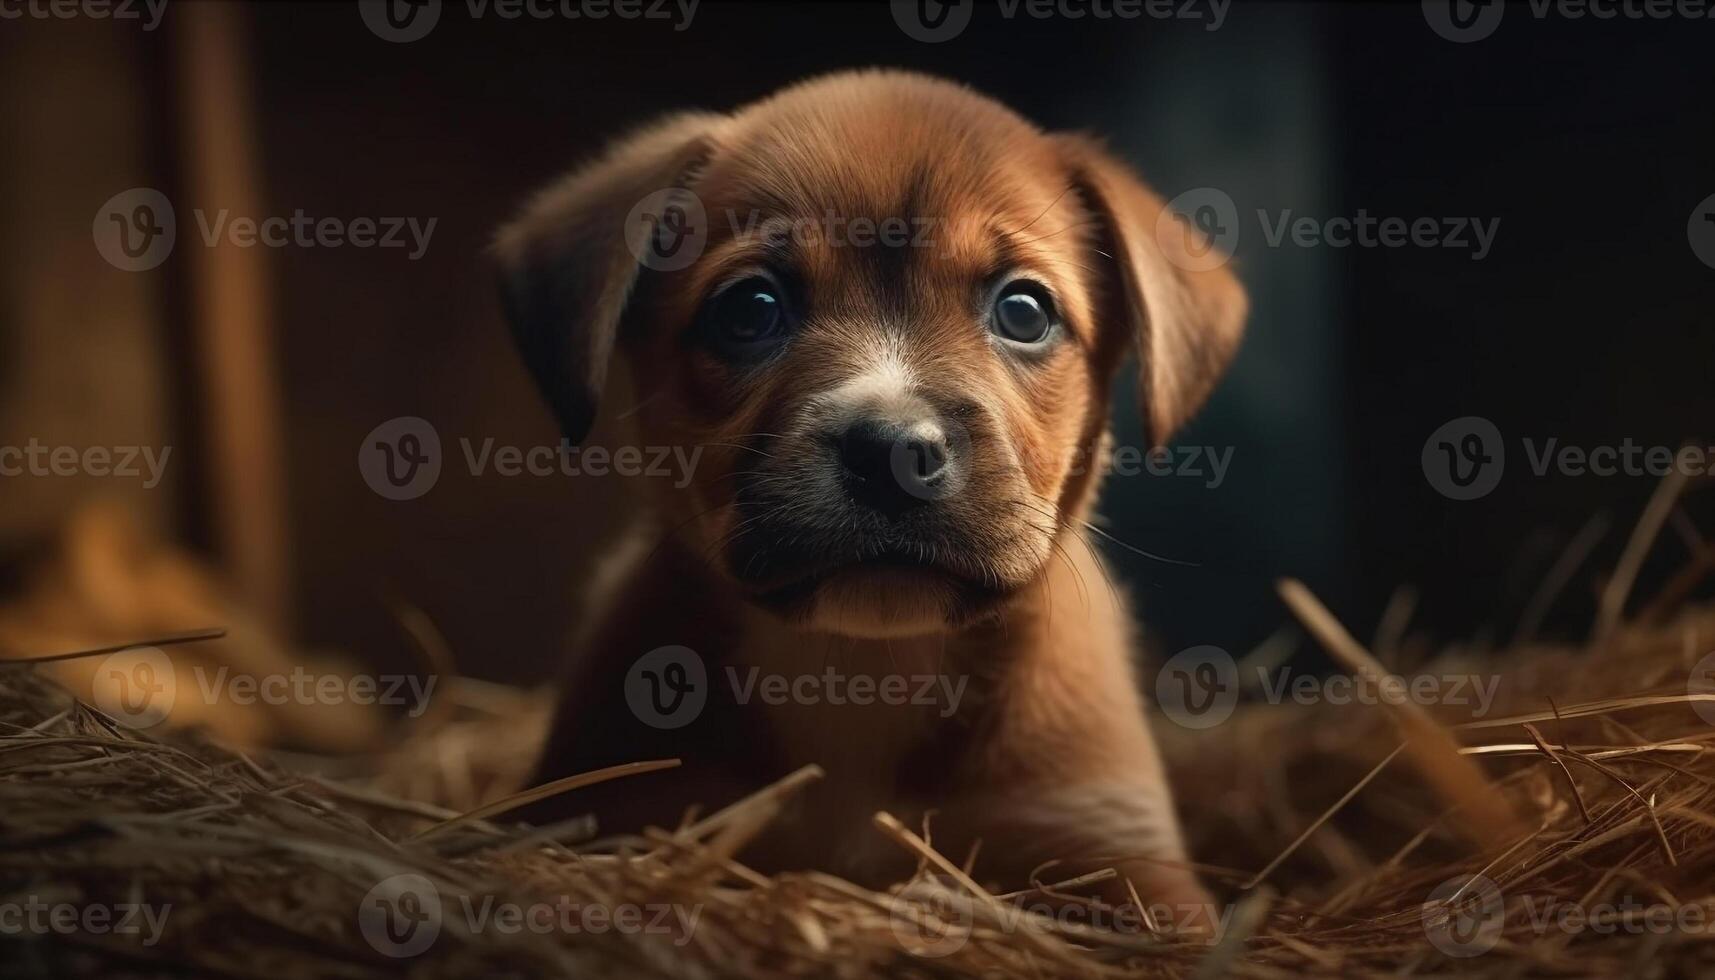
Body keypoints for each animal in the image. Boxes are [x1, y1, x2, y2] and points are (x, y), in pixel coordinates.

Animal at [497, 72, 1248, 919]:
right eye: (749, 308)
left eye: (1023, 311)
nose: (893, 452)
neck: (867, 667)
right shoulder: (628, 809)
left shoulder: (1119, 859)